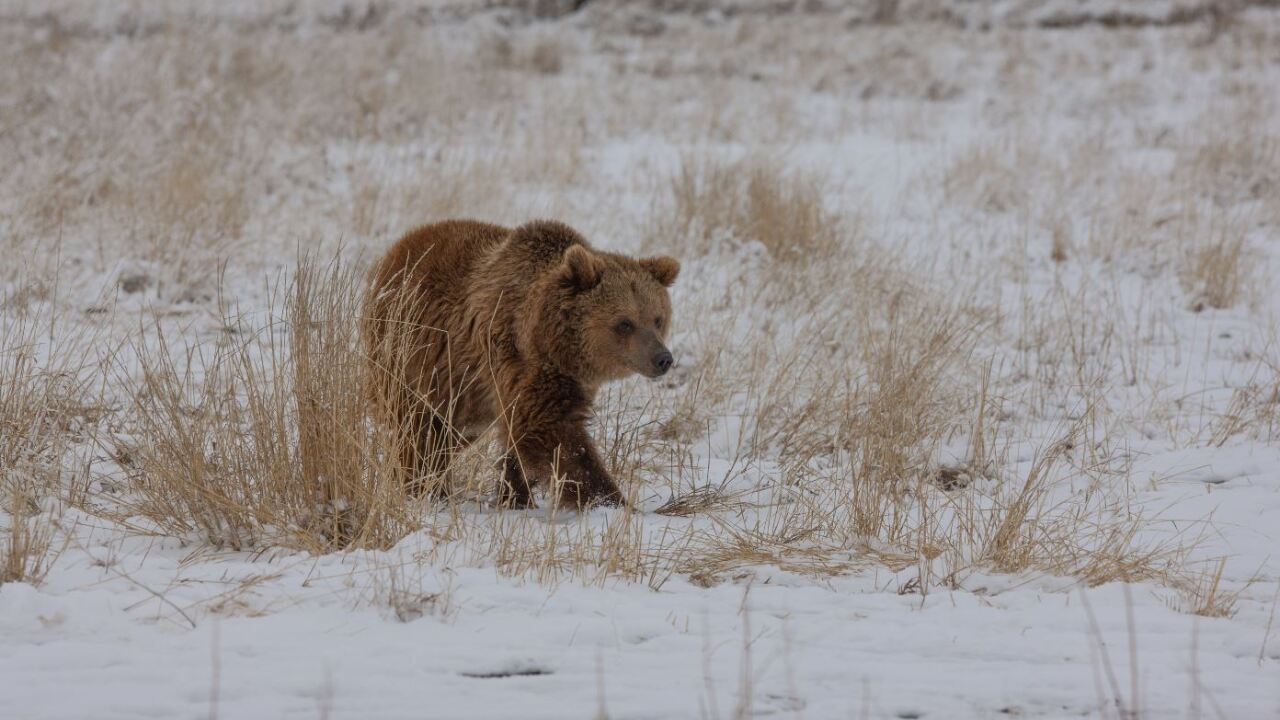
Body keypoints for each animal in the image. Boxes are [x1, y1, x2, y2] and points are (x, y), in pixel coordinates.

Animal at [364, 219, 680, 509]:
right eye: (625, 323)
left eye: (657, 319)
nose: (662, 358)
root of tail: (396, 249)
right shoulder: (521, 358)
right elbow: (549, 432)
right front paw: (611, 501)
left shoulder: (566, 380)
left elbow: (520, 438)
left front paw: (514, 496)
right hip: (411, 353)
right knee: (418, 427)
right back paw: (424, 487)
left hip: (463, 394)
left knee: (449, 433)